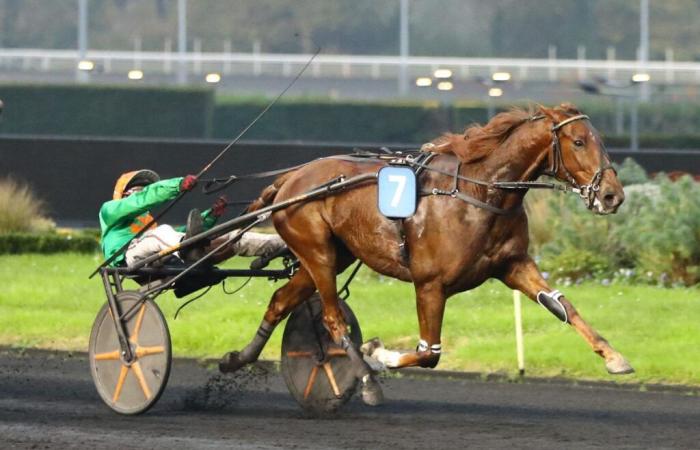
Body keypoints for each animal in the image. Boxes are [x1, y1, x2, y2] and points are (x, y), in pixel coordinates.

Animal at [219, 103, 636, 404]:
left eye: (599, 139)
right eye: (579, 142)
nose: (613, 195)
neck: (479, 191)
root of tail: (290, 179)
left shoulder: (513, 264)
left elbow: (562, 306)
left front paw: (614, 357)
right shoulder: (430, 284)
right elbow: (429, 352)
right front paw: (377, 353)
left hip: (332, 256)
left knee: (279, 301)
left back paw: (238, 358)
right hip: (317, 250)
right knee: (333, 319)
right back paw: (366, 380)